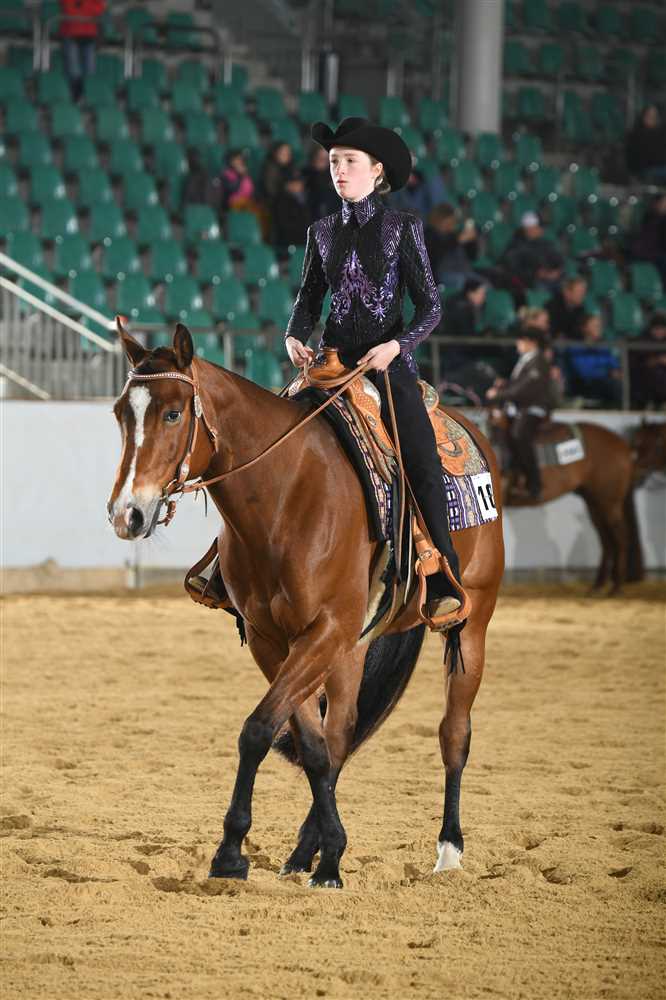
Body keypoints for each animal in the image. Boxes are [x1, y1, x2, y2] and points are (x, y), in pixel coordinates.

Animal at [107, 320, 504, 888]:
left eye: (173, 413)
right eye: (121, 413)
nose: (128, 515)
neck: (286, 495)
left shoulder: (324, 631)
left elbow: (257, 729)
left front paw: (232, 852)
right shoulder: (276, 640)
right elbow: (311, 742)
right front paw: (322, 853)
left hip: (472, 623)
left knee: (454, 732)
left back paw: (449, 849)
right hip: (353, 647)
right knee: (341, 733)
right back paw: (306, 852)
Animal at [488, 409, 643, 593]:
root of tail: (624, 446)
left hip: (609, 503)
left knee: (620, 537)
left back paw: (616, 587)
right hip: (594, 504)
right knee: (606, 540)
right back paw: (597, 586)